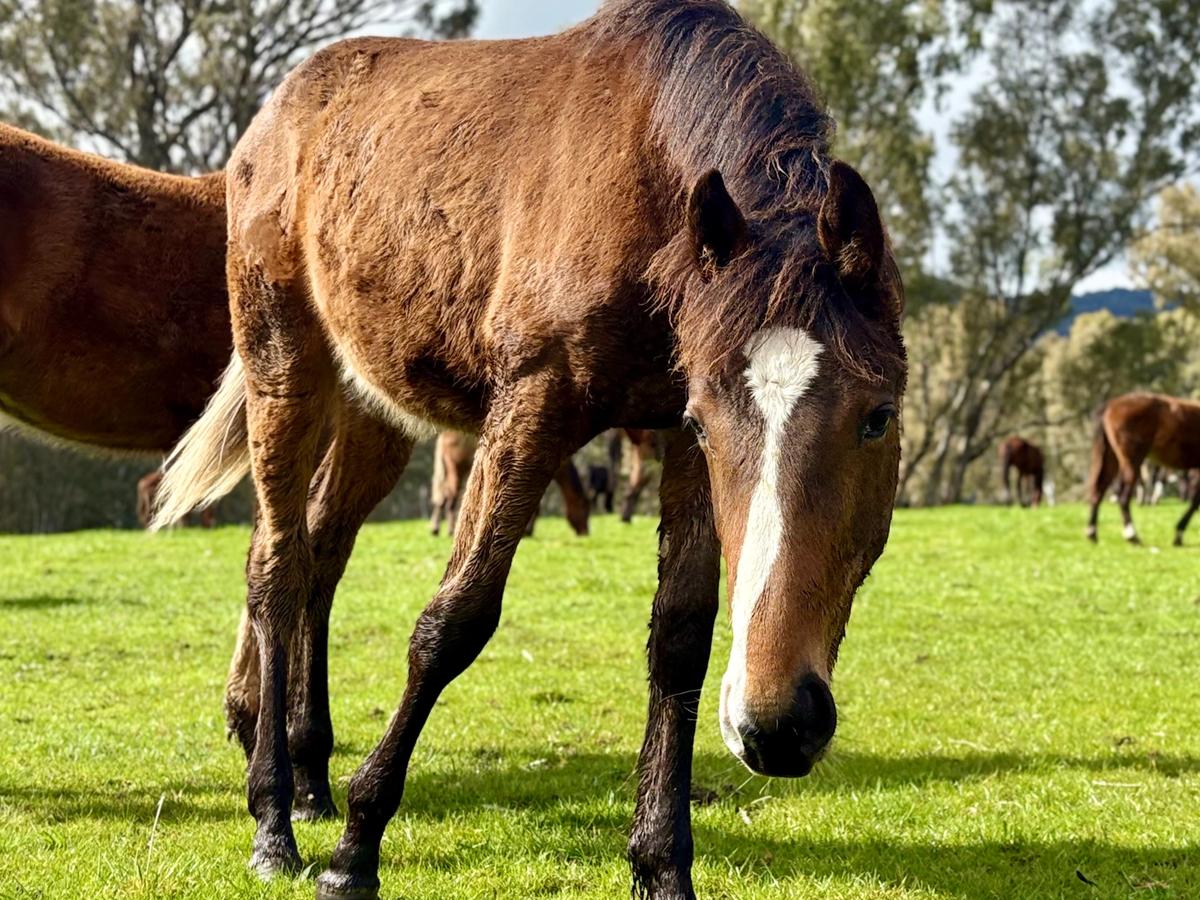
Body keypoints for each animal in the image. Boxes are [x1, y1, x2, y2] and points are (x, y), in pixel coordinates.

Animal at [430, 429, 591, 536]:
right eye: (584, 508)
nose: (586, 532)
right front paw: (528, 531)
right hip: (456, 470)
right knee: (450, 498)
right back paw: (449, 530)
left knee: (441, 498)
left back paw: (436, 529)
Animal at [1087, 392, 1200, 545]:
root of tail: (1110, 405)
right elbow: (1194, 503)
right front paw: (1179, 534)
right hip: (1133, 461)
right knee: (1124, 498)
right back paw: (1131, 535)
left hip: (1111, 458)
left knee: (1099, 490)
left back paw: (1092, 533)